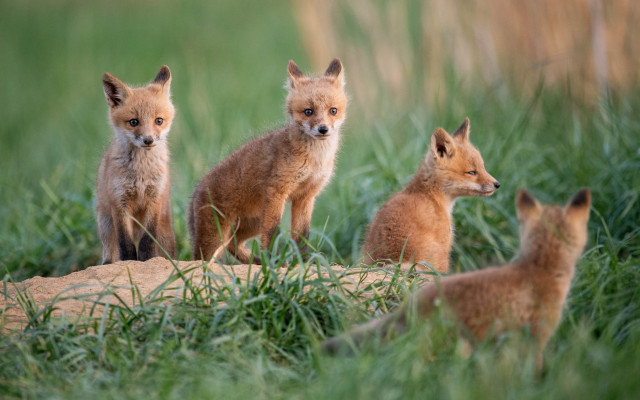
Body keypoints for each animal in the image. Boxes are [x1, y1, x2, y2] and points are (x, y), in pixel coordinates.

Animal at [96, 65, 177, 264]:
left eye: (158, 120)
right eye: (134, 122)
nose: (148, 140)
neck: (141, 172)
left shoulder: (154, 199)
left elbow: (148, 241)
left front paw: (146, 261)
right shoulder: (119, 202)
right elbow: (125, 243)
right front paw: (129, 263)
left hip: (165, 231)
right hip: (105, 224)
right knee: (110, 249)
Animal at [188, 58, 347, 263]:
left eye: (333, 110)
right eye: (308, 112)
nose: (323, 129)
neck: (315, 159)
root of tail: (195, 190)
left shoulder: (306, 196)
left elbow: (301, 236)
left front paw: (301, 263)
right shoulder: (276, 192)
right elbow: (272, 234)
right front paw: (273, 262)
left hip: (252, 224)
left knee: (233, 244)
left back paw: (254, 262)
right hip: (216, 236)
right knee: (201, 259)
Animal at [362, 118, 500, 273]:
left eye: (483, 167)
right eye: (471, 172)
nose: (497, 184)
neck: (432, 196)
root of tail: (391, 261)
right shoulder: (444, 247)